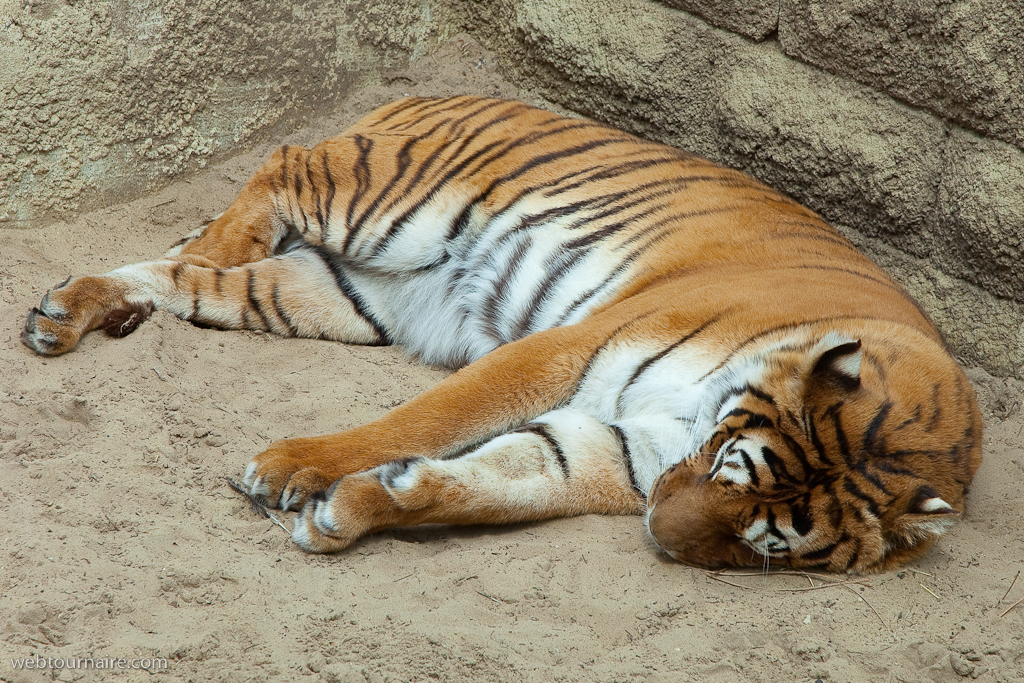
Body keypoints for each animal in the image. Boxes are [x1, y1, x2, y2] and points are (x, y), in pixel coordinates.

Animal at [22, 95, 982, 572]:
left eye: (767, 545)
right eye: (730, 472)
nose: (659, 537)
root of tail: (439, 88)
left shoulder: (621, 450)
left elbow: (503, 483)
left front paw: (359, 508)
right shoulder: (572, 346)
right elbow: (430, 417)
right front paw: (296, 467)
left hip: (344, 293)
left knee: (194, 281)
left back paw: (77, 311)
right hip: (384, 207)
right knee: (280, 168)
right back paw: (187, 252)